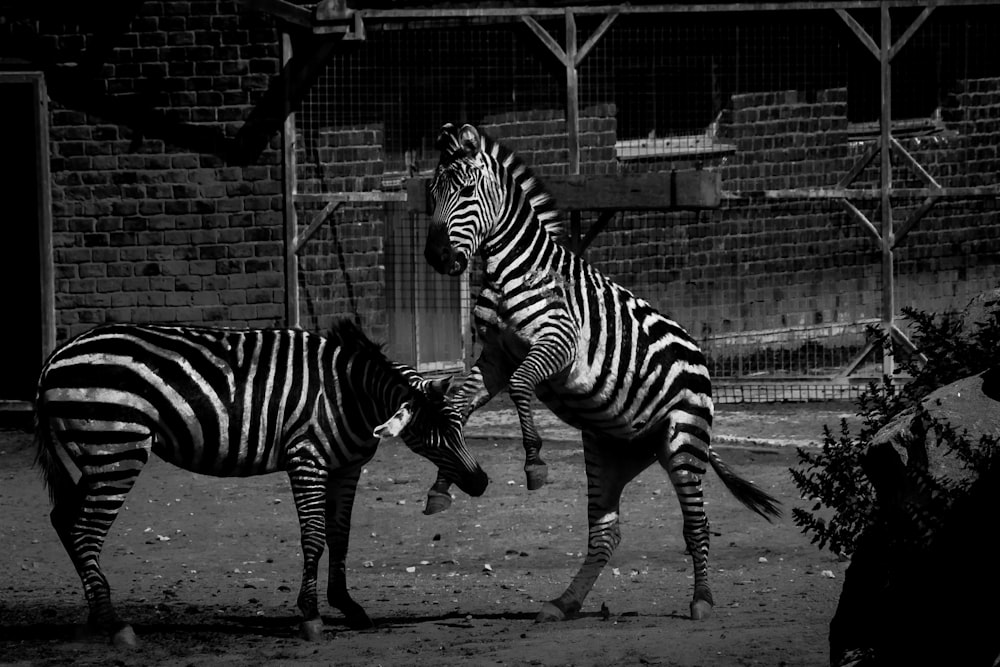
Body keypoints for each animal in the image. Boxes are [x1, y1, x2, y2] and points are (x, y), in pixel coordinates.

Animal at [37, 322, 490, 648]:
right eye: (430, 434)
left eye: (459, 424)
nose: (481, 482)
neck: (350, 396)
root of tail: (56, 354)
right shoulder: (306, 459)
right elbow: (314, 537)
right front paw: (310, 615)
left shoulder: (346, 469)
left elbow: (340, 536)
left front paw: (346, 605)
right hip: (116, 448)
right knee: (85, 531)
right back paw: (114, 624)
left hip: (93, 455)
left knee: (63, 521)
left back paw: (96, 616)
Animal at [422, 124, 780, 628]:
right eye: (431, 195)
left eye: (468, 191)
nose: (437, 257)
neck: (511, 269)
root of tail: (699, 355)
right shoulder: (495, 356)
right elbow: (457, 403)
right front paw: (442, 484)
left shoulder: (557, 344)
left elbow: (521, 387)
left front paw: (535, 463)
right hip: (609, 452)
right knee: (605, 533)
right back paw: (563, 603)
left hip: (683, 441)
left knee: (697, 524)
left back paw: (702, 601)